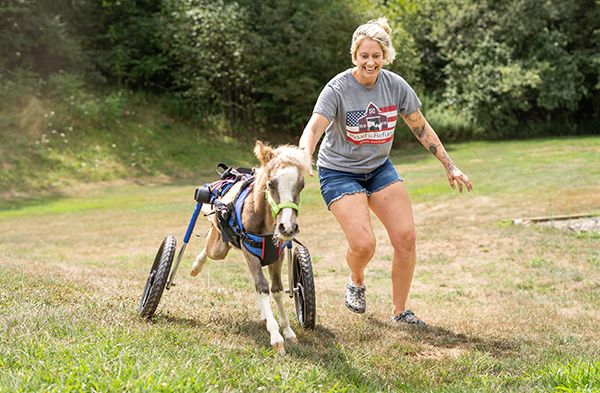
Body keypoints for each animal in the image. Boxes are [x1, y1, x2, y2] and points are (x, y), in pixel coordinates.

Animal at [190, 140, 312, 352]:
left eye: (301, 185)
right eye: (271, 184)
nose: (287, 227)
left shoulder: (277, 257)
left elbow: (276, 289)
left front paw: (287, 330)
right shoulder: (251, 254)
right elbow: (262, 287)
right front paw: (276, 337)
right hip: (219, 247)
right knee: (208, 249)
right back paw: (196, 266)